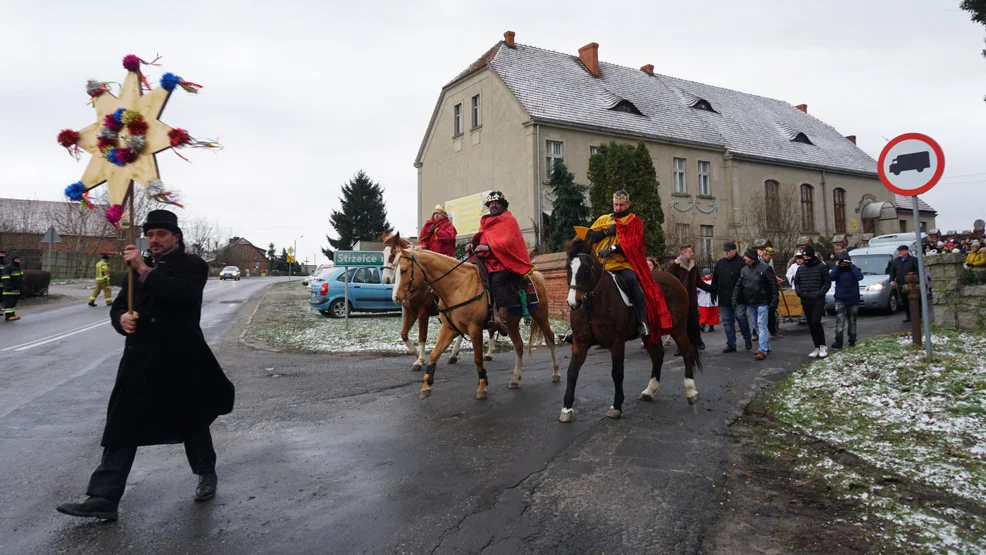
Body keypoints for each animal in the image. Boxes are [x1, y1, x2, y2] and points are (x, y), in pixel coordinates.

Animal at [378, 233, 496, 370]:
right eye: (382, 254)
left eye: (393, 253)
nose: (386, 279)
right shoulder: (410, 312)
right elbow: (403, 334)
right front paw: (417, 354)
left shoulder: (423, 313)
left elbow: (422, 336)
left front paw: (420, 360)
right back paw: (454, 355)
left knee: (490, 328)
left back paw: (489, 353)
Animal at [392, 239, 560, 400]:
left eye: (404, 270)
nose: (395, 298)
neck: (457, 286)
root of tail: (536, 274)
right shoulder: (448, 328)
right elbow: (434, 354)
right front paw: (426, 385)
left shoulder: (474, 328)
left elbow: (478, 359)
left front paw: (482, 387)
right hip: (512, 323)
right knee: (519, 346)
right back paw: (514, 378)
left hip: (541, 315)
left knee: (550, 338)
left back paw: (556, 373)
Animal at [560, 237, 700, 424]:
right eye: (567, 267)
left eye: (587, 268)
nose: (574, 302)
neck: (593, 303)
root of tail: (676, 281)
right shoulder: (580, 342)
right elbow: (572, 372)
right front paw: (567, 408)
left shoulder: (616, 342)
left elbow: (617, 373)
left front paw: (616, 406)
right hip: (650, 334)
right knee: (658, 356)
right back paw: (650, 391)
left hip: (677, 329)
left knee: (687, 352)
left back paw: (691, 391)